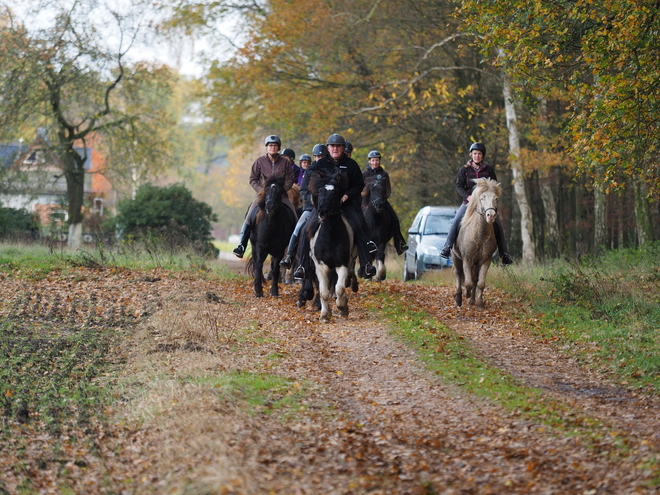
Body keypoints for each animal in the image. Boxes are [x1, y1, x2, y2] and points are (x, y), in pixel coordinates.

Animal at [306, 170, 358, 326]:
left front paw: (343, 308)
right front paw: (324, 315)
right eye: (320, 191)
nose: (322, 211)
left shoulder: (343, 264)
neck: (330, 236)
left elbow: (339, 288)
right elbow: (323, 292)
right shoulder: (321, 266)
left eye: (335, 193)